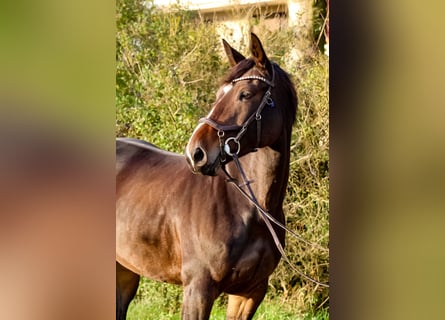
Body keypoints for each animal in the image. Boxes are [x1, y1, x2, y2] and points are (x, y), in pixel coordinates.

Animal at [117, 33, 298, 318]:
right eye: (218, 94)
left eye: (245, 94)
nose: (196, 152)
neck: (250, 207)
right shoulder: (198, 289)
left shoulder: (250, 292)